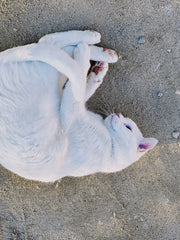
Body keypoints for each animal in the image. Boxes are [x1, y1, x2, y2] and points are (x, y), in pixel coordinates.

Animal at [0, 30, 158, 181]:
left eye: (128, 127)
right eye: (127, 122)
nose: (117, 114)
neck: (111, 151)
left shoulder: (68, 114)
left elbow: (78, 90)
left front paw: (92, 67)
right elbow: (83, 90)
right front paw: (97, 75)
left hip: (48, 75)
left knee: (54, 47)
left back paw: (88, 48)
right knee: (52, 44)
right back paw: (98, 48)